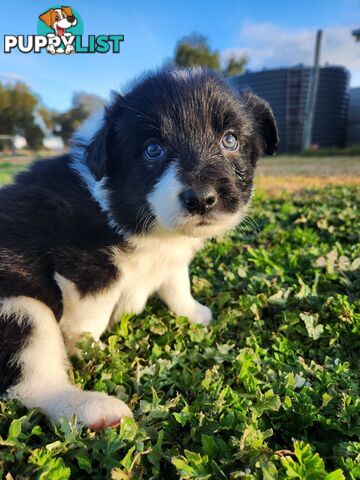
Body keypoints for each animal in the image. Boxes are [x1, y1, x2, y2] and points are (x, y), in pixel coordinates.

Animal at [0, 66, 278, 428]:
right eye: (153, 149)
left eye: (230, 140)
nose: (202, 199)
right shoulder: (82, 265)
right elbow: (89, 319)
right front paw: (90, 349)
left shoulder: (171, 257)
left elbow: (177, 284)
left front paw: (193, 312)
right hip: (21, 310)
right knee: (34, 384)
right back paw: (94, 409)